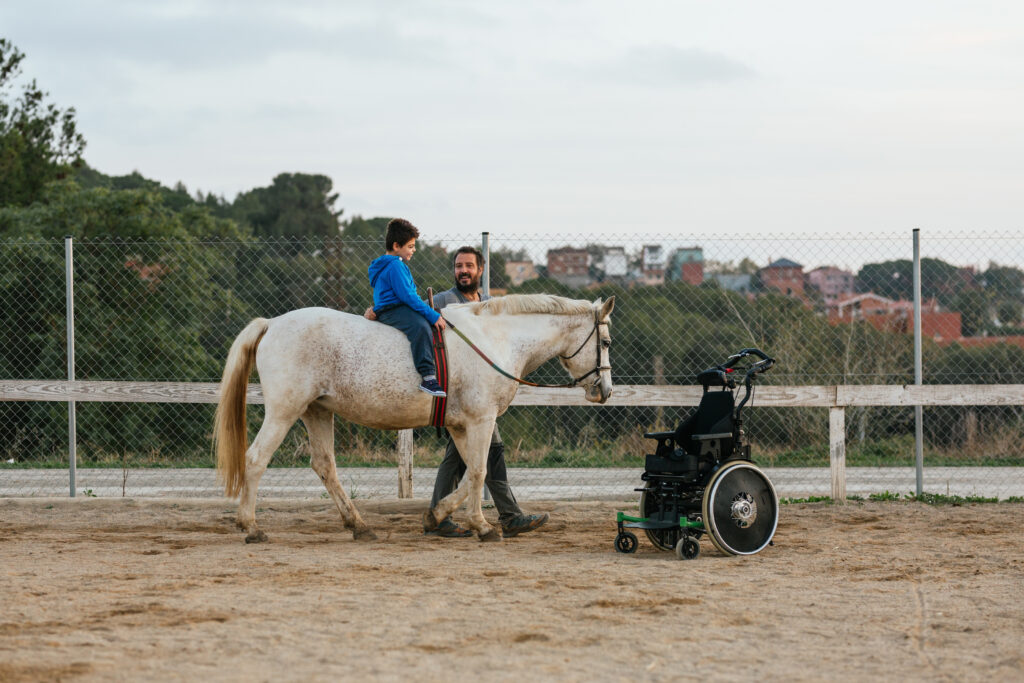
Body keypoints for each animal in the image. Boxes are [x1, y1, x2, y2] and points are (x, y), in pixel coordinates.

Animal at [214, 294, 614, 544]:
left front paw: (439, 517)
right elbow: (479, 471)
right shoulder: (481, 420)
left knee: (325, 466)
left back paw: (359, 526)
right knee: (256, 459)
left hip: (317, 411)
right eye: (607, 342)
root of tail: (272, 324)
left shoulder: (461, 425)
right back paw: (250, 527)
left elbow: (470, 473)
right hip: (286, 410)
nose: (605, 391)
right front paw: (482, 527)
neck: (494, 339)